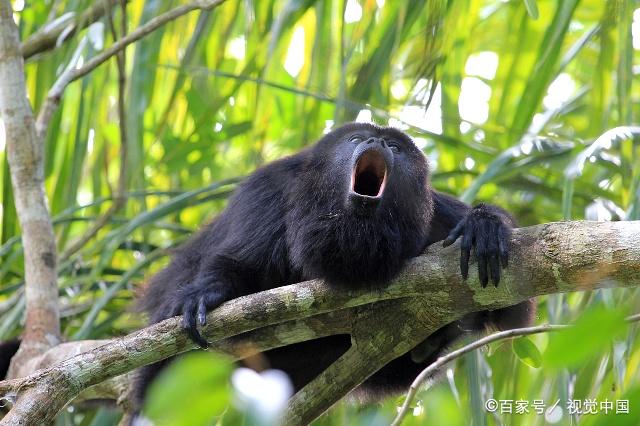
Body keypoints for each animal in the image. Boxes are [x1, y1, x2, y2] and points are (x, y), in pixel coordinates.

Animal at [135, 122, 536, 406]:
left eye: (395, 147)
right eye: (357, 138)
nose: (375, 143)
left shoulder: (435, 214)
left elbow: (513, 308)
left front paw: (483, 226)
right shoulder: (268, 190)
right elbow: (238, 263)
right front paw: (208, 293)